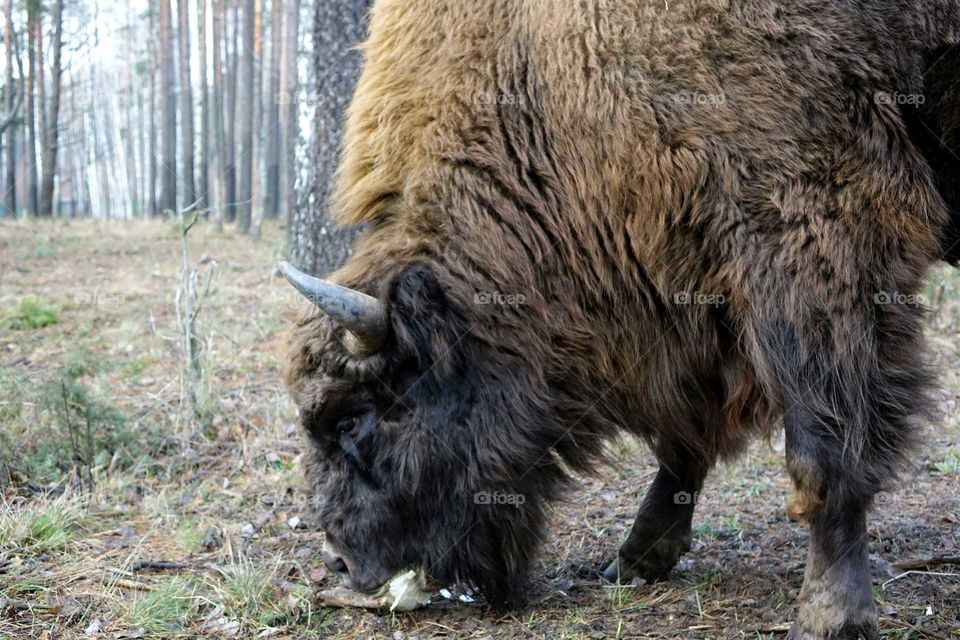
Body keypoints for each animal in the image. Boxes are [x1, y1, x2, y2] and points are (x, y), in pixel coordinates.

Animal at [281, 1, 960, 638]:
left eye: (352, 417)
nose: (340, 561)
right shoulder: (686, 283)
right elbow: (684, 435)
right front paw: (635, 559)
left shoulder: (808, 236)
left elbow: (821, 451)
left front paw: (830, 616)